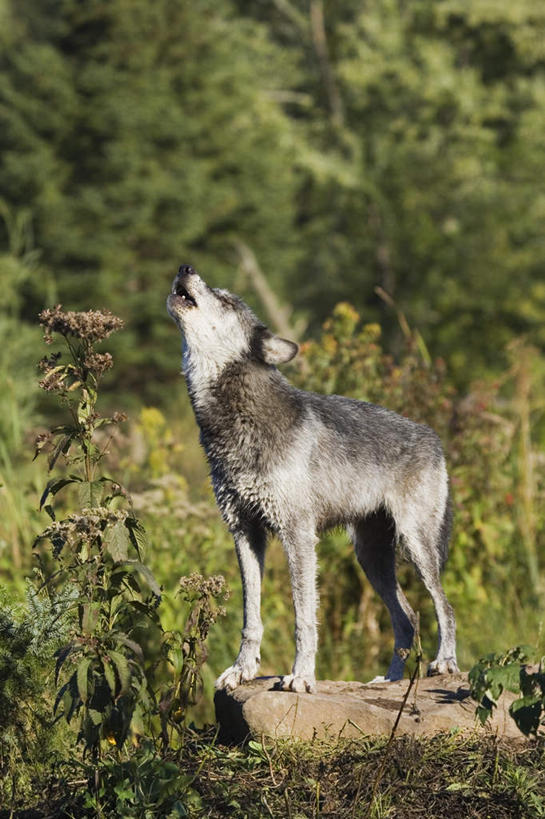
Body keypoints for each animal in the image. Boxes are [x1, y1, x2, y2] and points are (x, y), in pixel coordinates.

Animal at [168, 266, 456, 696]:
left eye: (226, 299)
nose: (185, 268)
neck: (235, 423)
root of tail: (434, 436)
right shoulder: (245, 533)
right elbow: (250, 617)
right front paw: (241, 671)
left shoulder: (298, 535)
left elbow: (303, 618)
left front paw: (301, 676)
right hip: (371, 558)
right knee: (406, 618)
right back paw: (386, 682)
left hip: (416, 547)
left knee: (443, 606)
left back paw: (445, 662)